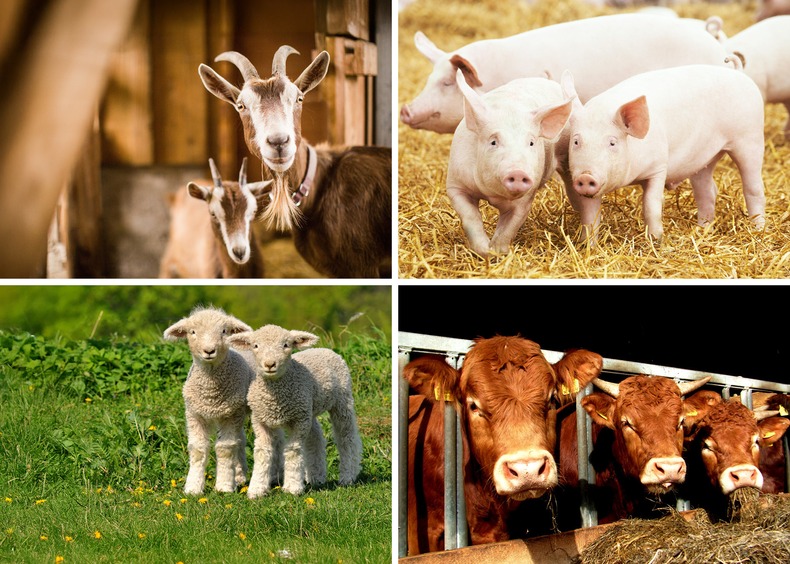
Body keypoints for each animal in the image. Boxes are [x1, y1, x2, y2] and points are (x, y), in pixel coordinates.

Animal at [163, 306, 256, 494]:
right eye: (192, 332)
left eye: (224, 331)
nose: (209, 351)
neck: (210, 394)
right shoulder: (194, 414)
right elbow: (198, 449)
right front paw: (193, 487)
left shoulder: (229, 415)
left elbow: (225, 449)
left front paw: (224, 486)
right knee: (241, 439)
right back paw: (239, 475)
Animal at [229, 324, 363, 498]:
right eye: (255, 346)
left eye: (286, 345)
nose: (270, 364)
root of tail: (325, 350)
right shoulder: (260, 420)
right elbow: (262, 452)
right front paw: (257, 489)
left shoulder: (299, 420)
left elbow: (293, 450)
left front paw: (292, 487)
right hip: (308, 409)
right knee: (315, 437)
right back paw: (316, 477)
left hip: (341, 401)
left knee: (347, 437)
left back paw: (348, 475)